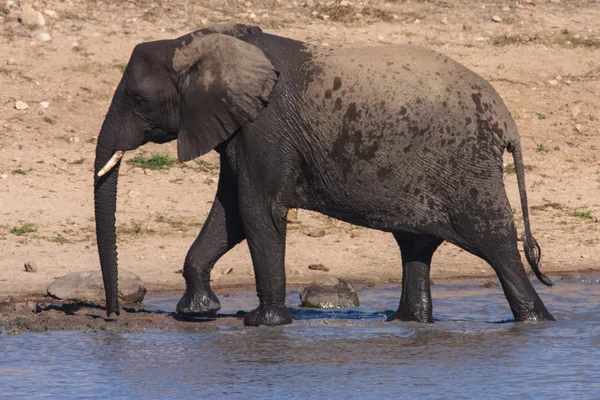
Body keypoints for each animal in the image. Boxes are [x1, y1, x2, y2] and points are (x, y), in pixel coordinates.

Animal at [91, 23, 556, 326]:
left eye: (138, 99)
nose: (113, 316)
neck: (200, 44)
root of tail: (508, 121)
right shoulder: (241, 128)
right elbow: (230, 213)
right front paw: (196, 312)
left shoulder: (266, 127)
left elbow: (256, 210)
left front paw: (263, 323)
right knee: (416, 245)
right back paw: (404, 322)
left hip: (467, 168)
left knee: (497, 248)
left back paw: (536, 321)